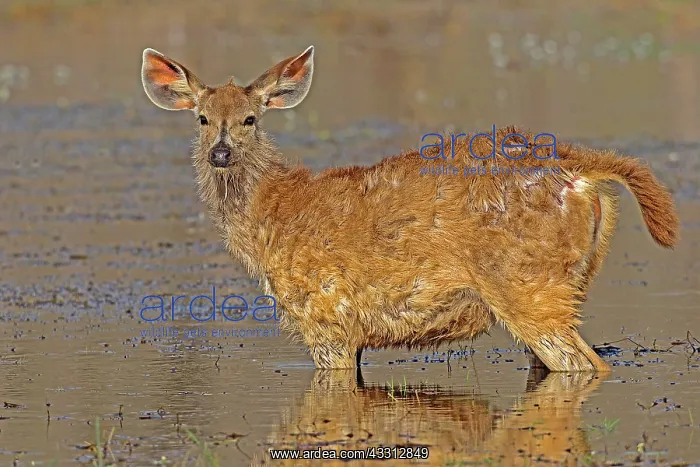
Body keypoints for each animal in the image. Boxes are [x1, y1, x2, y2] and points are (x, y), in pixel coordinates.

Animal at [140, 45, 679, 374]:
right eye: (202, 118)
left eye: (250, 118)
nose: (220, 153)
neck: (270, 217)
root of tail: (582, 171)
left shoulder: (325, 317)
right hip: (569, 283)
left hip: (527, 284)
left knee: (588, 364)